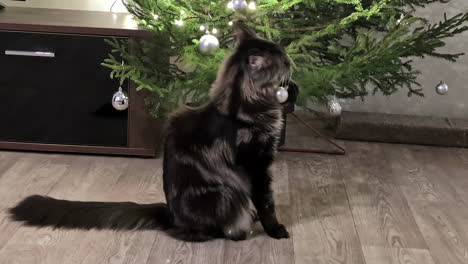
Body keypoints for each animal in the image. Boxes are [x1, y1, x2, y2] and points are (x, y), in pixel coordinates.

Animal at [8, 23, 296, 242]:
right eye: (281, 59)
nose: (291, 60)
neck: (244, 105)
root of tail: (170, 215)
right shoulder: (256, 163)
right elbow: (267, 202)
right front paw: (276, 230)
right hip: (226, 194)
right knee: (217, 230)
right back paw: (242, 228)